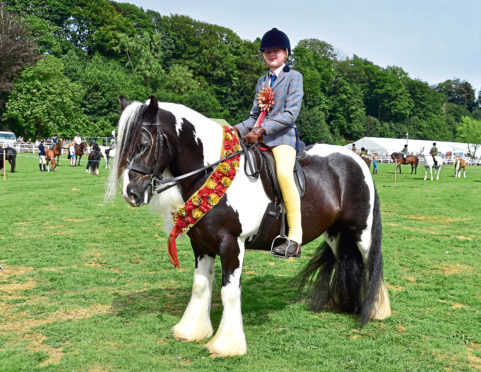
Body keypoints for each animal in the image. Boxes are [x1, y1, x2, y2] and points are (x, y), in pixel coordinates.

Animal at [106, 97, 390, 358]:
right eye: (120, 144)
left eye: (144, 143)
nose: (131, 193)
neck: (211, 171)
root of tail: (357, 159)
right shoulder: (201, 244)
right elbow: (200, 285)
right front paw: (192, 330)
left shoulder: (232, 244)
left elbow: (229, 291)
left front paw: (226, 344)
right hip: (336, 234)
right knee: (346, 261)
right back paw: (345, 304)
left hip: (362, 232)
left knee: (372, 262)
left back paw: (377, 310)